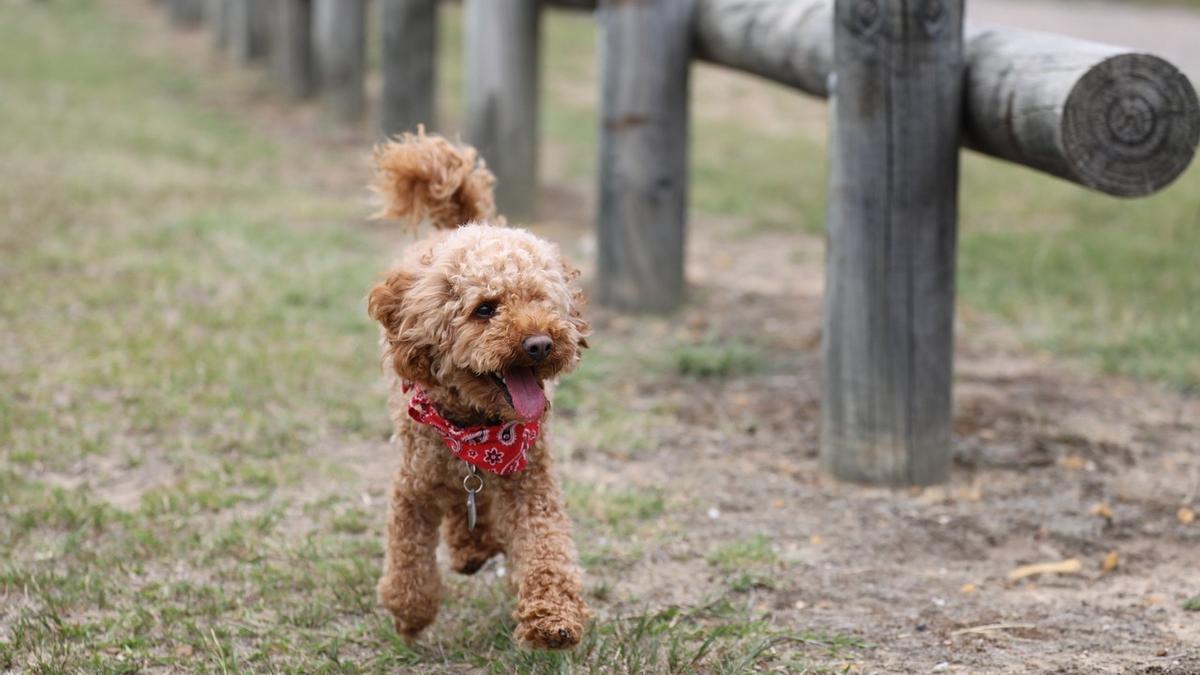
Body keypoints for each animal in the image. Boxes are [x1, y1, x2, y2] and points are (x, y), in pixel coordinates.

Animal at [364, 128, 590, 648]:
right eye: (485, 308)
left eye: (541, 300)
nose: (540, 343)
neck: (478, 428)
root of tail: (459, 228)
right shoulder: (413, 488)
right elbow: (408, 560)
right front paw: (410, 614)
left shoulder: (531, 482)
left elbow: (547, 546)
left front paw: (552, 619)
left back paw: (474, 545)